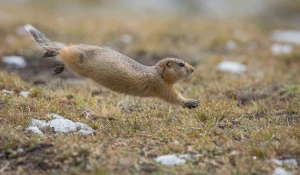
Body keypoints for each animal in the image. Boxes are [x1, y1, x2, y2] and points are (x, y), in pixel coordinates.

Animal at [25, 23, 199, 108]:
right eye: (181, 64)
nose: (193, 69)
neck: (158, 73)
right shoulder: (161, 86)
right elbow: (173, 97)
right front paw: (191, 102)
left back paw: (57, 66)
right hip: (75, 58)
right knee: (62, 50)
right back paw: (51, 52)